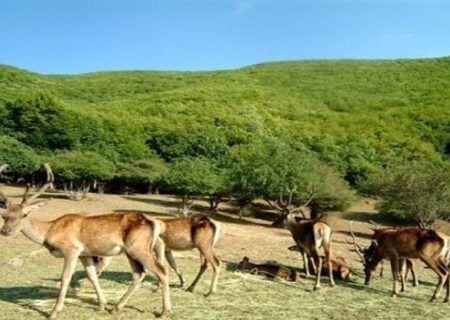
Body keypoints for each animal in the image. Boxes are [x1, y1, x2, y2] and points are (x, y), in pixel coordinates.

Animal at [0, 164, 171, 318]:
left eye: (24, 215)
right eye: (4, 215)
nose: (5, 231)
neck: (49, 231)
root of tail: (154, 222)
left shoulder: (72, 250)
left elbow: (65, 277)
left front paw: (54, 312)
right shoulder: (85, 254)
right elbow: (92, 276)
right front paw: (102, 305)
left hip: (139, 247)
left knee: (161, 270)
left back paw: (164, 311)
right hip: (130, 251)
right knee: (138, 274)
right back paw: (116, 307)